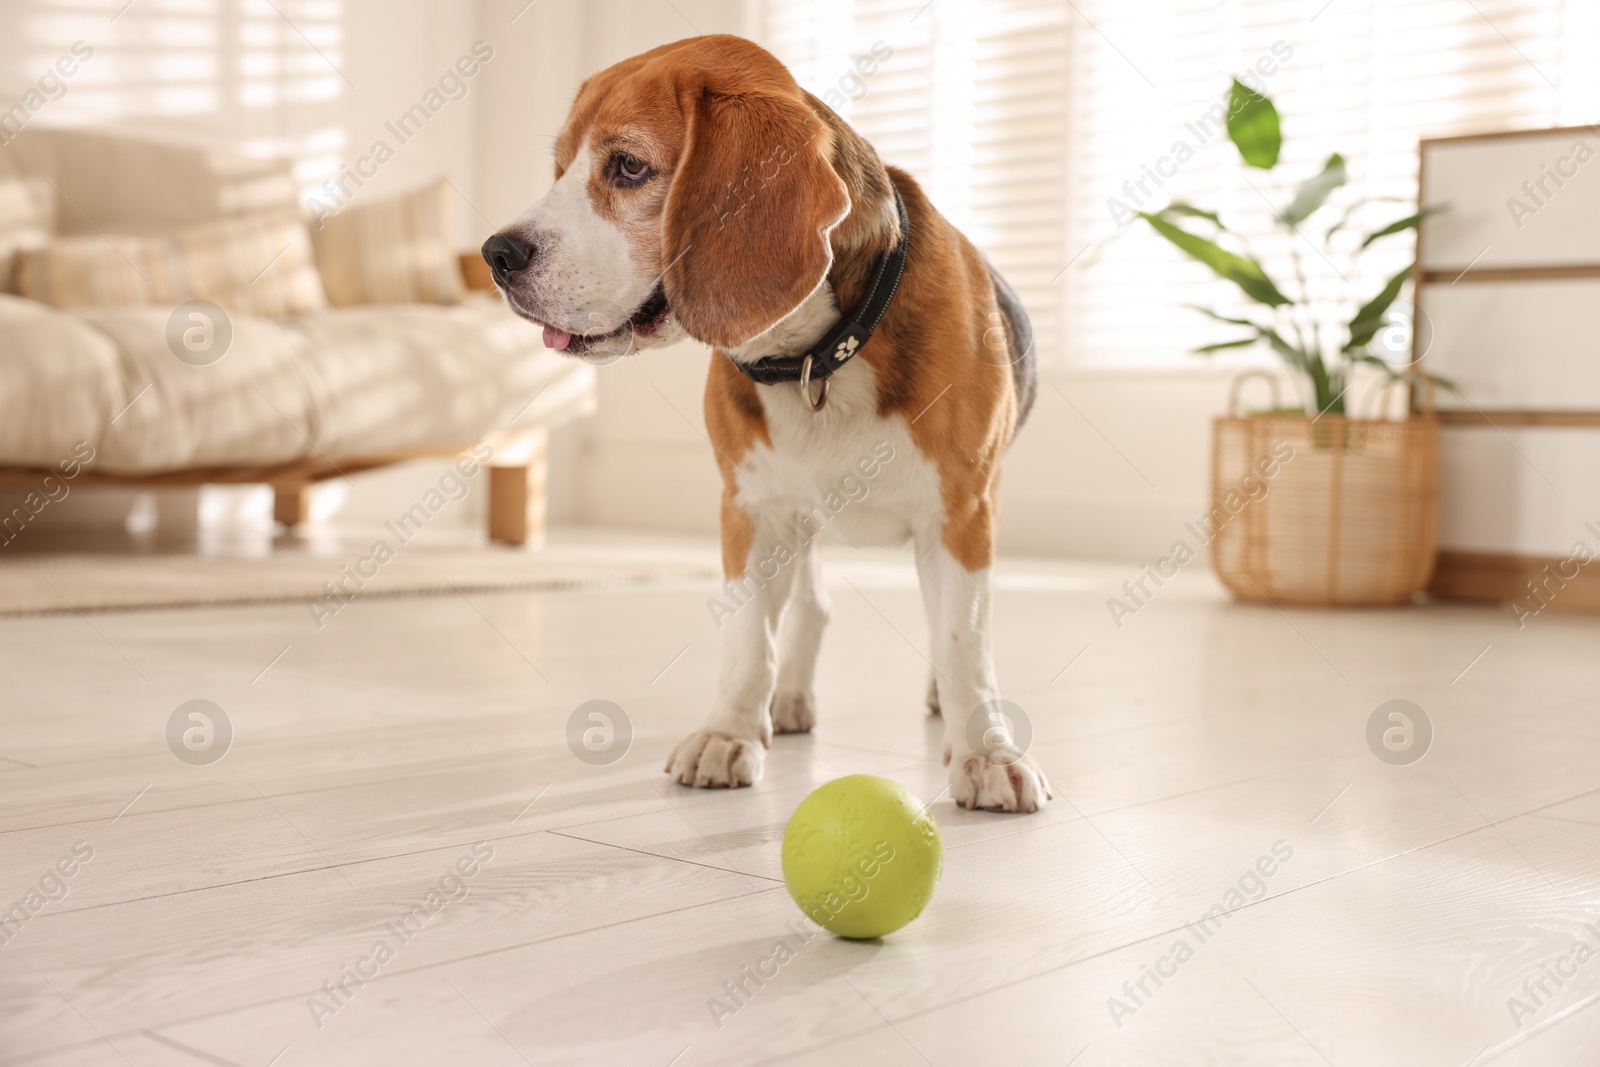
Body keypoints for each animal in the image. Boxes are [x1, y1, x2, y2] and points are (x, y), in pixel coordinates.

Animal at [476, 37, 1049, 812]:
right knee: (810, 607)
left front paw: (986, 753)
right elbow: (752, 638)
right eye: (560, 167)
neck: (817, 356)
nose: (497, 255)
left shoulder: (959, 511)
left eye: (629, 167)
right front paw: (729, 732)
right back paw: (792, 698)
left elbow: (963, 637)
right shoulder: (751, 509)